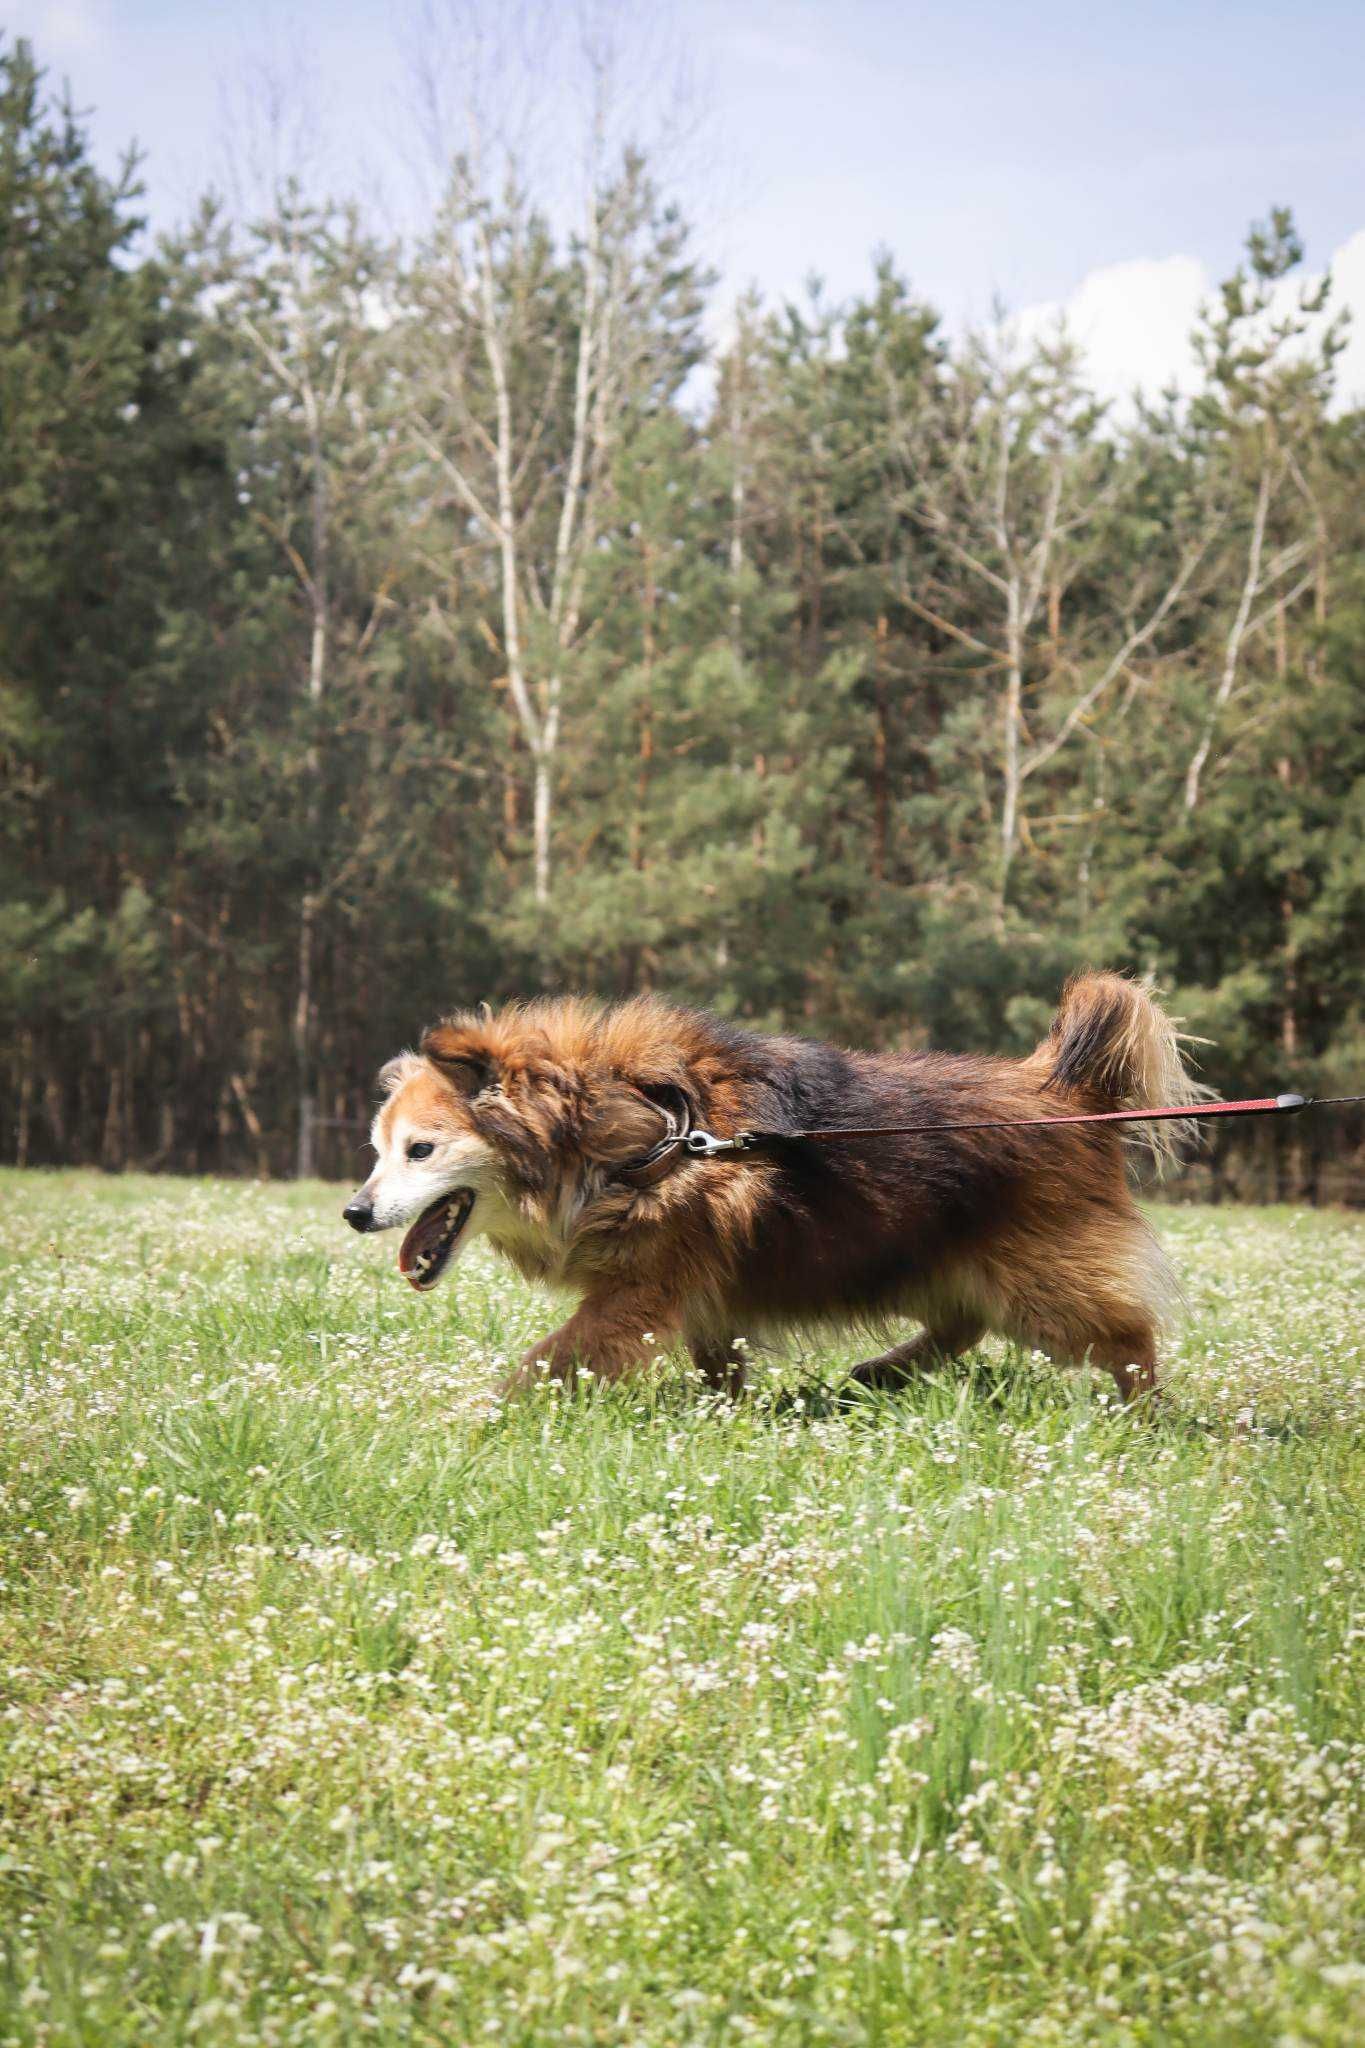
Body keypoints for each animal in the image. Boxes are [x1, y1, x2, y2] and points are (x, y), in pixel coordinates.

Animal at [347, 978, 1203, 1409]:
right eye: (377, 1152)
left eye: (420, 1150)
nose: (354, 1212)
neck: (624, 1135)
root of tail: (1062, 1086)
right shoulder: (700, 1295)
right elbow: (717, 1364)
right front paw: (726, 1416)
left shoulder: (638, 1293)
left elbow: (545, 1363)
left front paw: (476, 1416)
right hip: (933, 1257)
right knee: (961, 1323)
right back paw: (882, 1372)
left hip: (1040, 1279)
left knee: (1126, 1339)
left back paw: (1143, 1416)